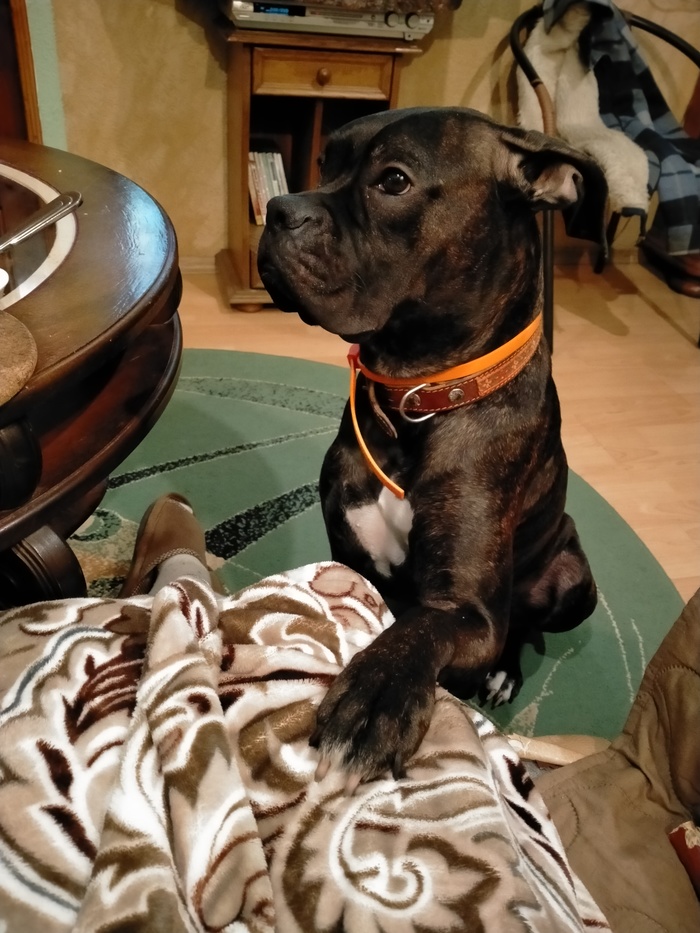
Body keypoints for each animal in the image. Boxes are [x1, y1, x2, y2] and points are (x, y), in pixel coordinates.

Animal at [257, 107, 606, 790]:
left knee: (522, 623)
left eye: (393, 180)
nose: (278, 208)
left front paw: (376, 693)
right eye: (326, 163)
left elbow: (423, 628)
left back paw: (502, 673)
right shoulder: (349, 560)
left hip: (575, 582)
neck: (417, 399)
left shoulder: (466, 611)